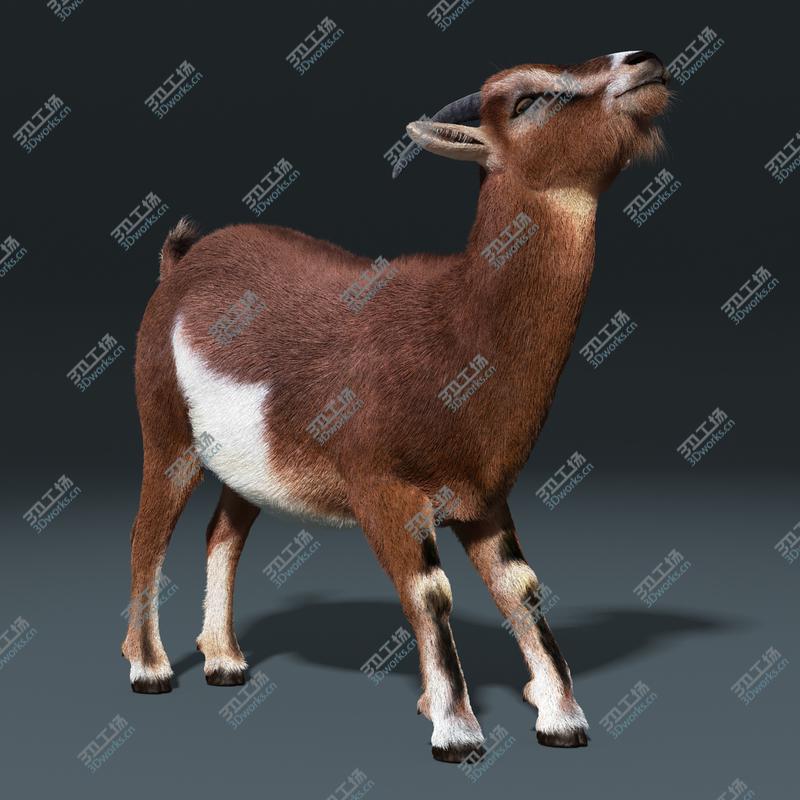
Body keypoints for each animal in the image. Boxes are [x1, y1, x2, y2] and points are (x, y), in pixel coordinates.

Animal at [122, 50, 669, 761]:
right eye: (526, 100)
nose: (642, 62)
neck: (454, 326)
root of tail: (179, 265)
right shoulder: (383, 491)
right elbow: (429, 593)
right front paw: (456, 731)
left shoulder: (483, 500)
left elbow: (521, 589)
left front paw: (560, 719)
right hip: (169, 437)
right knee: (147, 535)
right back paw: (150, 669)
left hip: (247, 468)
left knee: (222, 534)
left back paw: (225, 661)